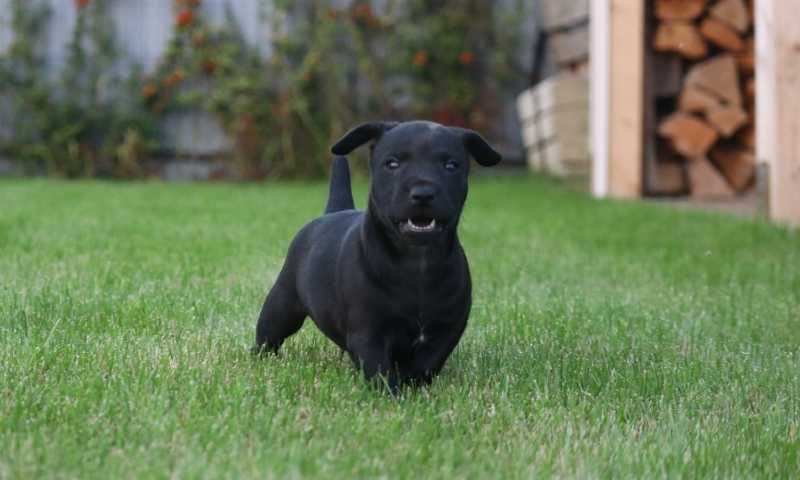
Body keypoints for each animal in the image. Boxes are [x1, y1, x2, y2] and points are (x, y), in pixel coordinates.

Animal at [253, 120, 500, 390]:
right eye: (392, 164)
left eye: (451, 165)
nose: (423, 193)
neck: (417, 260)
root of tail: (333, 212)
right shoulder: (368, 332)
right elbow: (378, 368)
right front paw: (391, 393)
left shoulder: (447, 328)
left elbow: (428, 361)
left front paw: (413, 385)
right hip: (283, 303)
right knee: (269, 332)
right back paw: (260, 358)